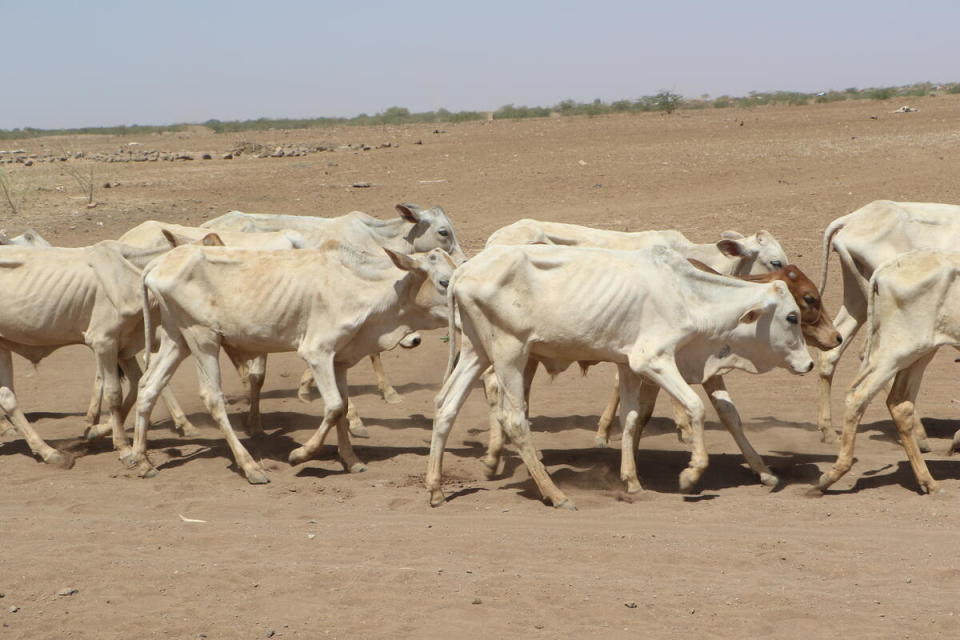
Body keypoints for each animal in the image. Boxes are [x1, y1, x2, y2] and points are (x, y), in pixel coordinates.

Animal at [121, 242, 458, 482]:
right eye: (444, 282)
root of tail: (160, 262)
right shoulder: (317, 352)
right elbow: (334, 406)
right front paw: (301, 455)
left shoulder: (340, 360)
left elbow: (343, 408)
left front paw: (351, 461)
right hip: (202, 338)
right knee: (212, 398)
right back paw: (250, 467)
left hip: (176, 339)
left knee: (148, 386)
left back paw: (143, 460)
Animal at [432, 245, 812, 510]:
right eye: (792, 316)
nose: (809, 364)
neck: (688, 295)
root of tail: (463, 273)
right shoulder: (654, 360)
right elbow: (695, 407)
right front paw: (690, 475)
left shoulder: (629, 365)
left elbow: (630, 419)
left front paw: (632, 482)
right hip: (509, 354)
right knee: (514, 420)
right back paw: (555, 494)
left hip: (476, 352)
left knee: (446, 407)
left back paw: (435, 488)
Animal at [812, 250, 960, 496]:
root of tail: (884, 271)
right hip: (897, 353)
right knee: (859, 396)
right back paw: (829, 478)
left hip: (920, 352)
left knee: (900, 404)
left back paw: (928, 481)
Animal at [816, 202, 960, 448]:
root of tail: (853, 219)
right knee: (872, 358)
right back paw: (919, 436)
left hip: (857, 300)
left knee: (833, 351)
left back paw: (828, 432)